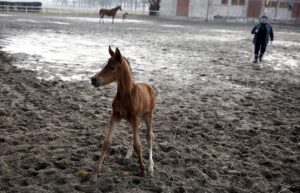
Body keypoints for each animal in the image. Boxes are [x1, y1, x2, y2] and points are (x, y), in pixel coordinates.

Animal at [90, 46, 157, 182]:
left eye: (112, 67)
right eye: (105, 64)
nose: (94, 79)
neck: (127, 95)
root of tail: (150, 87)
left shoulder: (135, 117)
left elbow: (138, 145)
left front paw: (143, 170)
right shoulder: (115, 116)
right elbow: (107, 142)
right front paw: (94, 174)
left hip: (148, 115)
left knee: (149, 137)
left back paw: (151, 167)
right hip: (134, 120)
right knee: (135, 134)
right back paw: (128, 155)